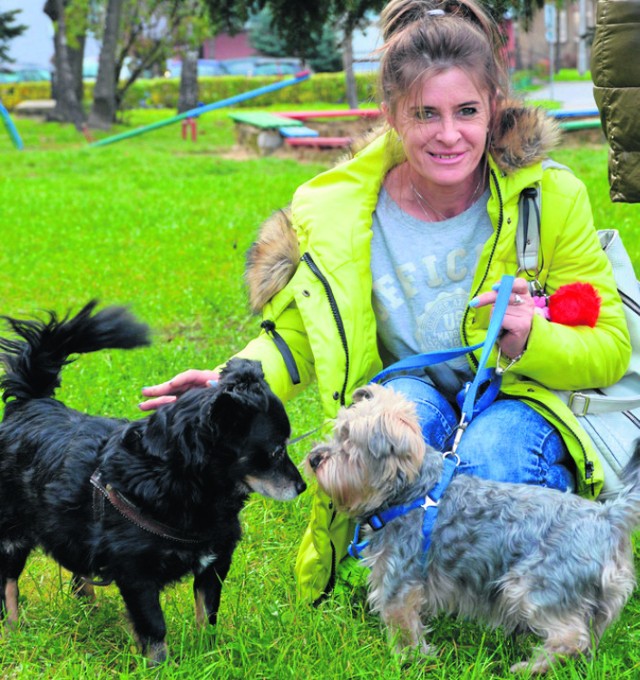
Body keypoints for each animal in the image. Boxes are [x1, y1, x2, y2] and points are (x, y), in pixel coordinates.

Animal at [0, 300, 306, 660]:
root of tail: (30, 403)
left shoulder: (214, 562)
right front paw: (164, 665)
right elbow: (154, 629)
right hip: (11, 537)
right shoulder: (137, 574)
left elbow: (208, 615)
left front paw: (209, 655)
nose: (302, 486)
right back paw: (14, 631)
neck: (173, 476)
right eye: (275, 451)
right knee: (8, 585)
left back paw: (89, 611)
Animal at [306, 382, 640, 676]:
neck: (412, 491)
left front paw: (409, 660)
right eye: (337, 431)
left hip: (538, 585)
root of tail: (608, 517)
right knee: (589, 636)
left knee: (572, 638)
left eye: (350, 446)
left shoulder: (398, 582)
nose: (314, 458)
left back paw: (530, 668)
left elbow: (403, 628)